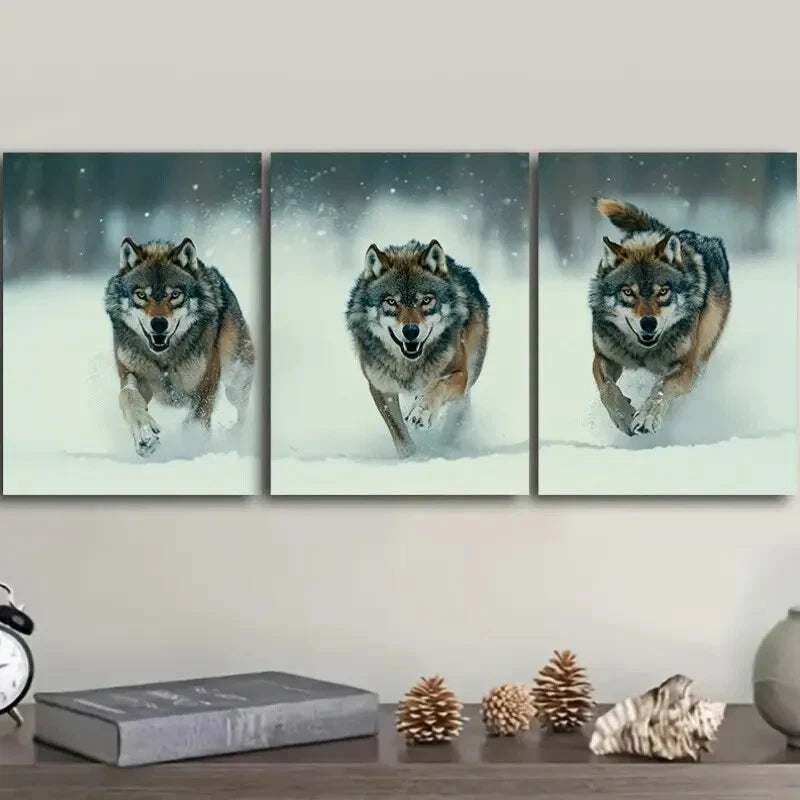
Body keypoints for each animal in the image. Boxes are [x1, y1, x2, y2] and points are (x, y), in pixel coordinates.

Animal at [104, 237, 254, 457]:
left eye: (175, 294)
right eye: (141, 295)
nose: (159, 324)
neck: (164, 358)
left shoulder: (206, 384)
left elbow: (195, 424)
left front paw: (191, 450)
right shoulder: (132, 375)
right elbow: (127, 396)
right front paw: (144, 434)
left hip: (237, 382)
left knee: (243, 411)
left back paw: (239, 436)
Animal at [346, 239, 489, 458]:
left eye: (426, 300)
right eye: (391, 302)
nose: (411, 331)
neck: (409, 365)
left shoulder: (460, 373)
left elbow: (438, 386)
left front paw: (422, 412)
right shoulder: (381, 387)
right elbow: (400, 434)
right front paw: (411, 458)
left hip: (471, 372)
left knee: (459, 406)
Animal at [589, 198, 731, 435]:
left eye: (663, 291)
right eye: (628, 292)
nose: (648, 323)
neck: (644, 352)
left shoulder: (684, 366)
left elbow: (661, 389)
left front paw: (647, 416)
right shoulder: (604, 357)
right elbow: (608, 390)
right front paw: (624, 417)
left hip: (701, 360)